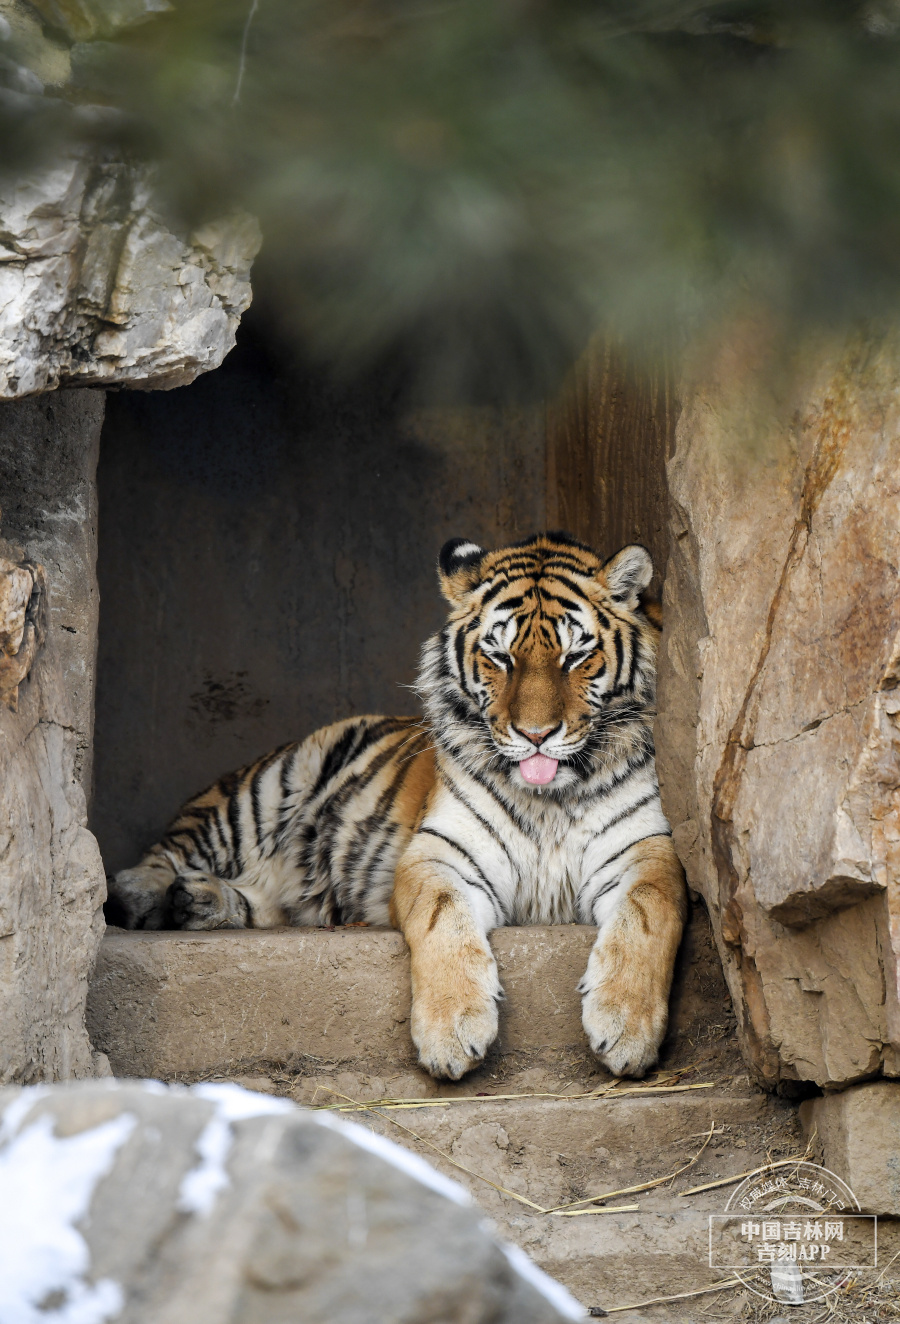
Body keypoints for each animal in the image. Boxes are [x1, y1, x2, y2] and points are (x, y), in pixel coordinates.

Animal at [110, 532, 688, 1080]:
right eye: (500, 657)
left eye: (576, 657)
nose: (536, 735)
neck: (550, 799)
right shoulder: (439, 853)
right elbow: (442, 917)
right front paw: (453, 1030)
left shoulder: (646, 849)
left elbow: (650, 912)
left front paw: (626, 1028)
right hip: (263, 792)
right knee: (169, 850)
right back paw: (143, 894)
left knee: (270, 903)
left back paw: (200, 902)